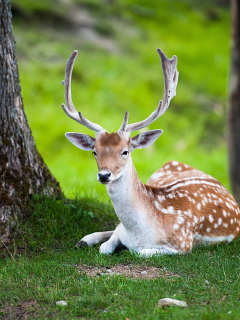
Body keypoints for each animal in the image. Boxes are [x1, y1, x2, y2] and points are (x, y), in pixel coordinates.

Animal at [61, 48, 240, 258]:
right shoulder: (122, 230)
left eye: (125, 151)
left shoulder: (183, 243)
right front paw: (96, 241)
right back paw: (85, 239)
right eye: (94, 152)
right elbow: (107, 245)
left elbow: (139, 252)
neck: (138, 231)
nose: (104, 175)